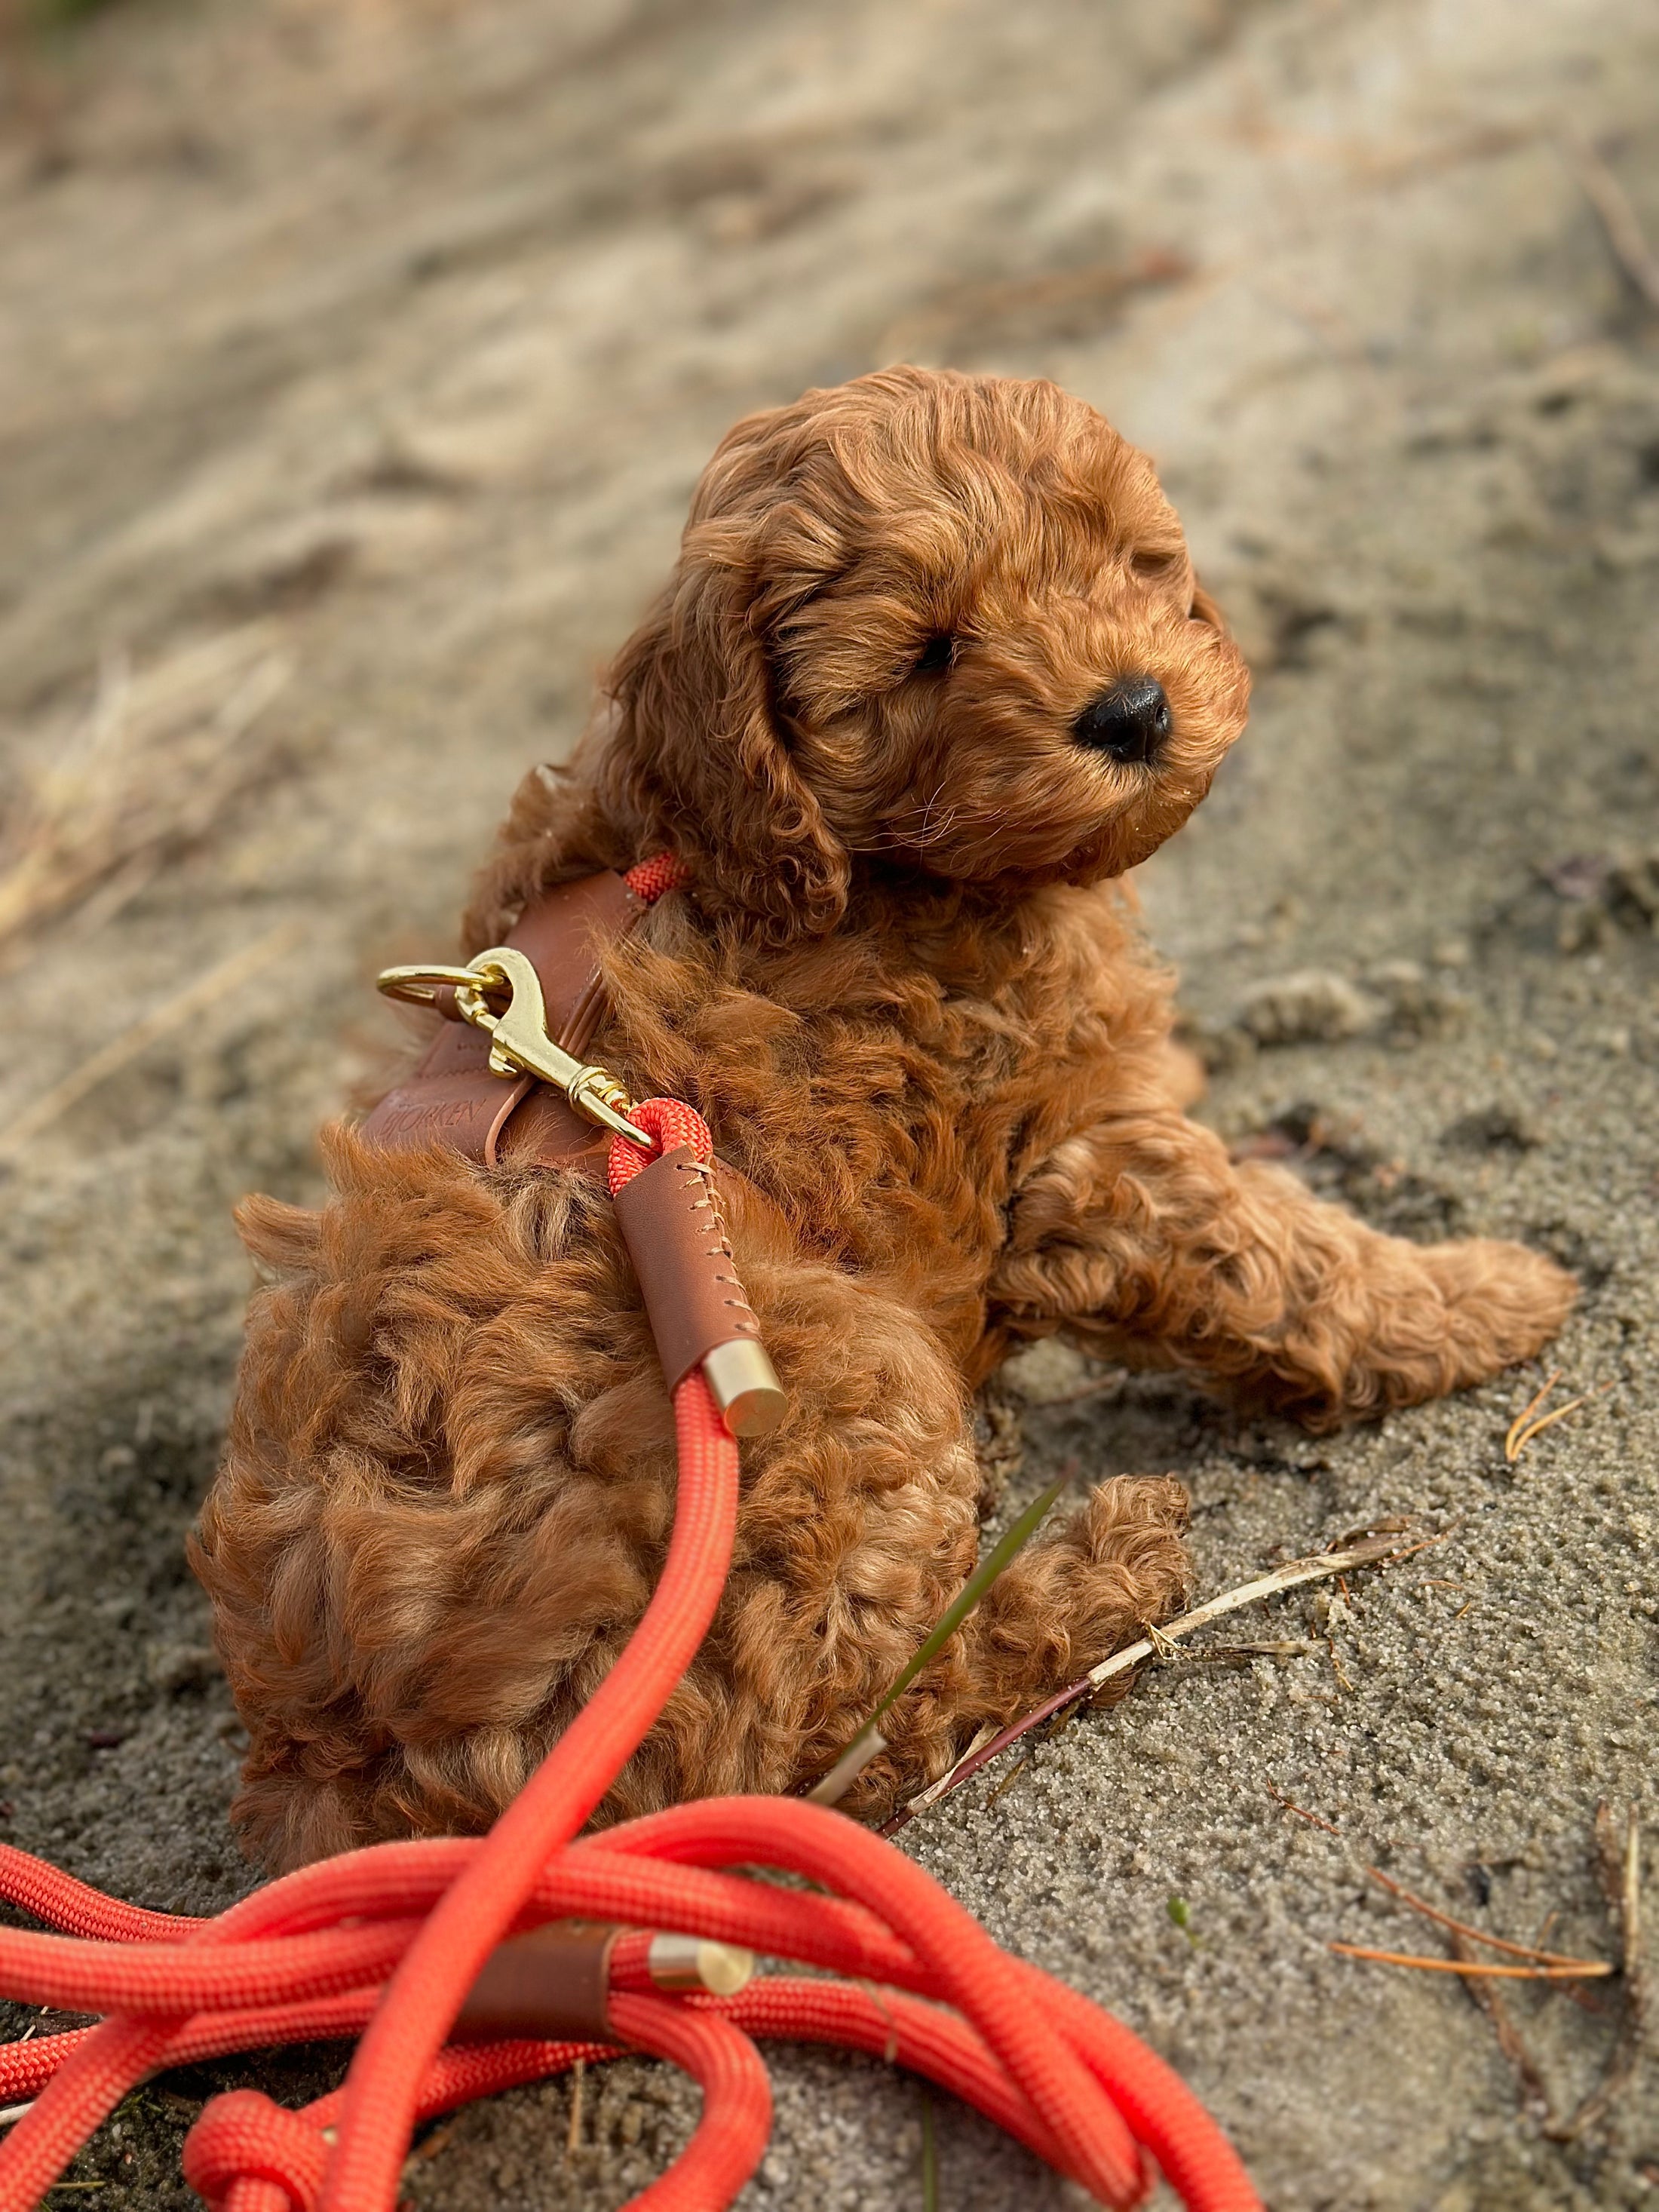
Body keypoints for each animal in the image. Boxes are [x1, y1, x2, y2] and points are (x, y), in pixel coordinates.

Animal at [191, 367, 1575, 1867]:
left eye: (1127, 560)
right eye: (928, 652)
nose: (1135, 712)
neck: (827, 862)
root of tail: (372, 1784)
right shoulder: (1080, 1169)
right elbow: (1294, 1259)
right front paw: (1487, 1296)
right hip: (836, 1376)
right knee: (841, 1737)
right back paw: (1094, 1578)